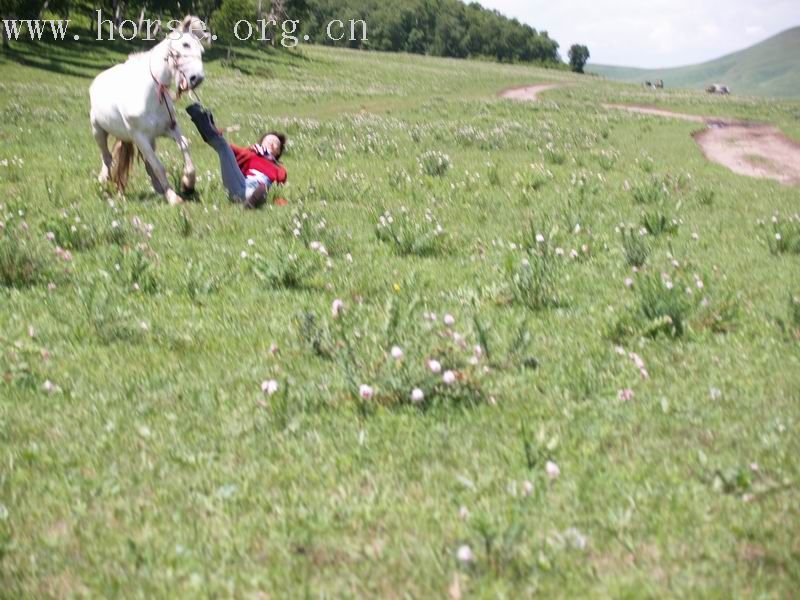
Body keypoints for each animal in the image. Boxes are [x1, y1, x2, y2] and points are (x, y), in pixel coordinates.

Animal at [88, 16, 206, 205]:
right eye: (185, 44)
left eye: (201, 50)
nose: (197, 78)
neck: (151, 93)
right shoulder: (140, 137)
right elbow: (158, 166)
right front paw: (173, 197)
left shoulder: (168, 129)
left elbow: (184, 146)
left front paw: (188, 182)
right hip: (99, 131)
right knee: (107, 158)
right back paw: (104, 183)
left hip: (149, 140)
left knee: (146, 164)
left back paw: (158, 189)